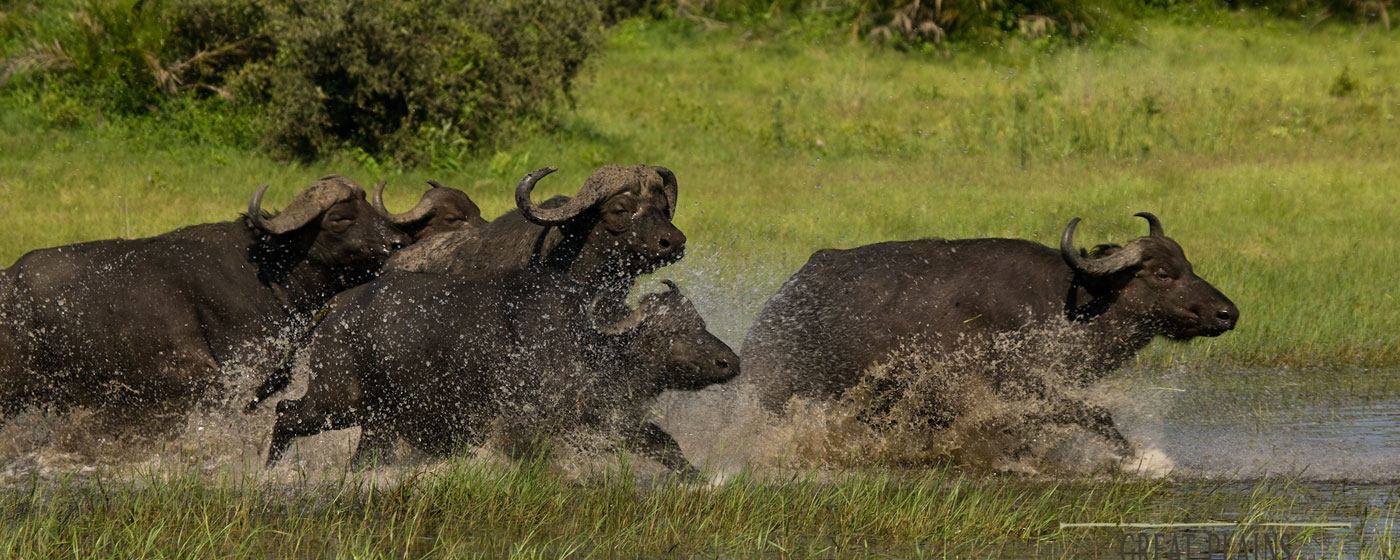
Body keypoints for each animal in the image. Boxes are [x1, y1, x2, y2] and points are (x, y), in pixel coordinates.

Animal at [264, 269, 737, 477]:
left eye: (699, 322)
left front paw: (700, 480)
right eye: (670, 332)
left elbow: (667, 444)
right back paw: (268, 473)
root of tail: (334, 309)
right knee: (285, 413)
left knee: (361, 456)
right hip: (337, 399)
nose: (729, 362)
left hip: (376, 421)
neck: (590, 348)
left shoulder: (611, 419)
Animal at [739, 212, 1238, 454]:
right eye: (1162, 273)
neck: (1071, 306)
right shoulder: (1017, 391)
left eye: (1188, 264)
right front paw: (1137, 460)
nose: (1228, 313)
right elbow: (1097, 416)